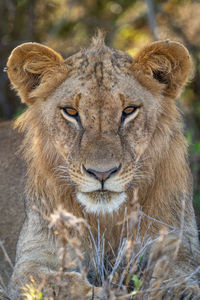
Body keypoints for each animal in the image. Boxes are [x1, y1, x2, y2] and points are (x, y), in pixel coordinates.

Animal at [3, 34, 200, 298]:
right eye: (71, 111)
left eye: (128, 110)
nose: (101, 173)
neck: (107, 219)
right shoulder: (31, 261)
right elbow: (62, 283)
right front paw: (110, 293)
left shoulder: (177, 241)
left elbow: (178, 273)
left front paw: (179, 291)